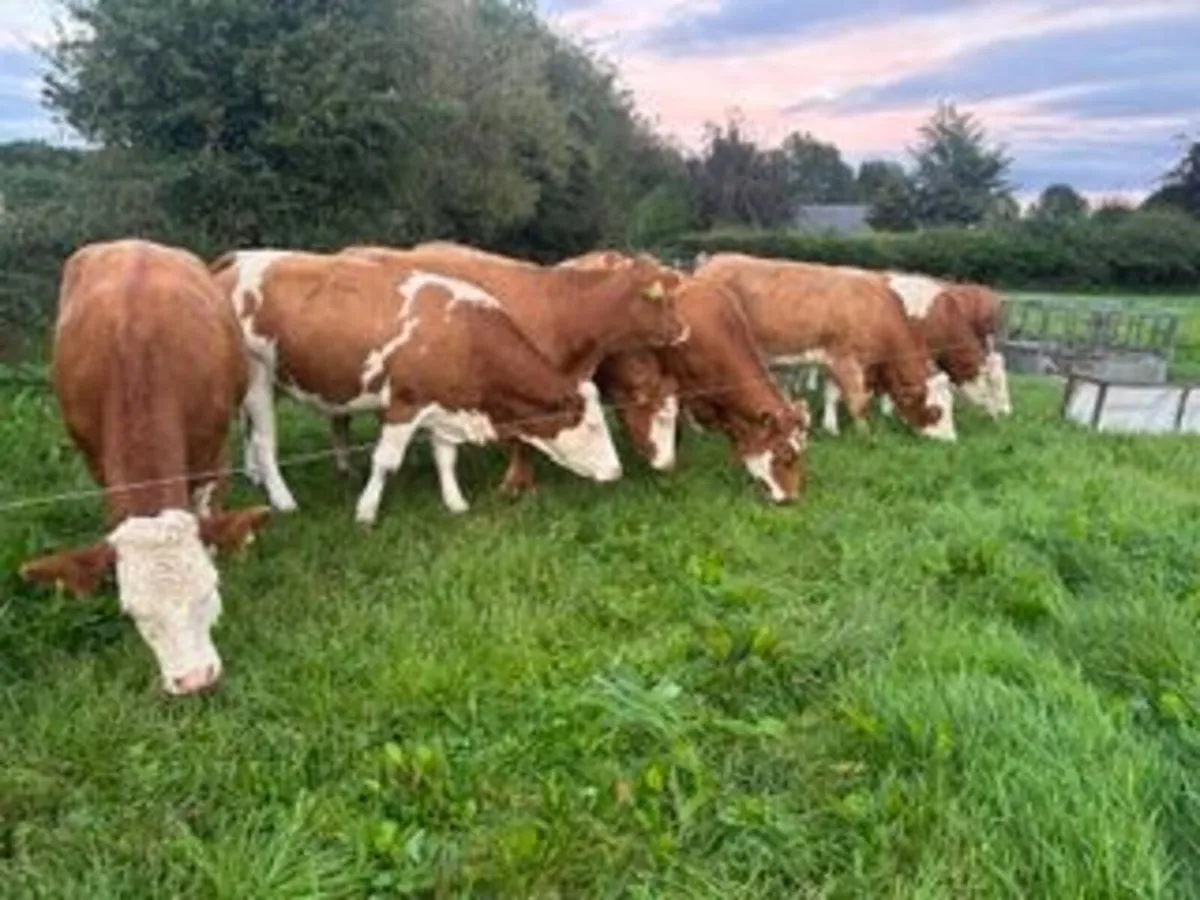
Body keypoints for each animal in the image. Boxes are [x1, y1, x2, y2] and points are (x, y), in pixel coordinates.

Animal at [18, 239, 271, 696]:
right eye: (132, 611)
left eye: (210, 589)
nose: (194, 680)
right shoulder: (94, 454)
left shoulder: (212, 450)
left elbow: (209, 515)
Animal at [208, 249, 625, 522]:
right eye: (592, 426)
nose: (617, 472)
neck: (463, 335)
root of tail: (238, 258)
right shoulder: (405, 404)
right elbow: (385, 461)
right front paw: (366, 511)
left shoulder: (445, 403)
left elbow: (446, 457)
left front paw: (455, 503)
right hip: (257, 378)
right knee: (264, 443)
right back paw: (282, 499)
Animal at [335, 242, 688, 496]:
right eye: (662, 416)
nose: (669, 464)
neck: (563, 308)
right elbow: (520, 439)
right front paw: (517, 483)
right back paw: (347, 468)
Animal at [693, 253, 954, 441]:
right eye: (936, 411)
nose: (951, 440)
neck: (873, 308)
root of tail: (713, 261)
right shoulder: (846, 360)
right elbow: (857, 400)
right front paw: (865, 434)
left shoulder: (830, 360)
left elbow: (831, 394)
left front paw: (831, 428)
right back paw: (701, 429)